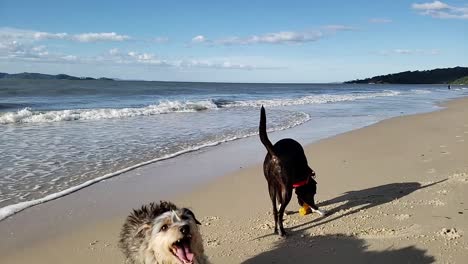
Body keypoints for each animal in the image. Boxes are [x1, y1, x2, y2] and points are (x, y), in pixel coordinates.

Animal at [260, 106, 322, 236]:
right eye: (313, 193)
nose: (306, 205)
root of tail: (274, 153)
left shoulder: (279, 187)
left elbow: (278, 203)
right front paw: (320, 211)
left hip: (271, 186)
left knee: (275, 210)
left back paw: (275, 230)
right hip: (287, 190)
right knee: (279, 213)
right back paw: (282, 231)